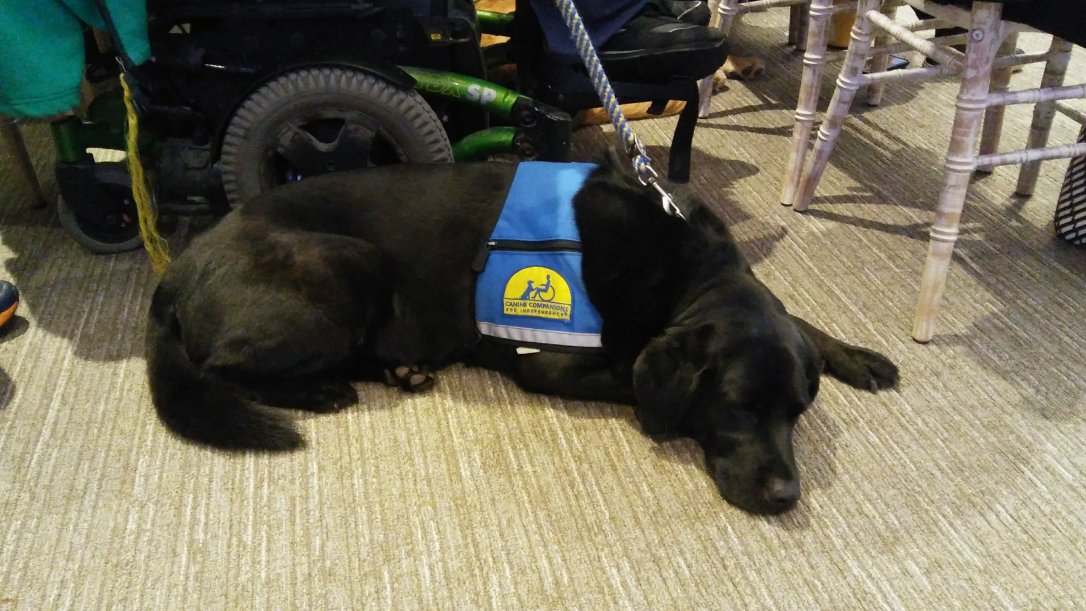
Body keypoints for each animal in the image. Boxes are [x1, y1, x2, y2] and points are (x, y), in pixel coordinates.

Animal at [146, 153, 898, 514]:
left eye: (799, 414)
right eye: (738, 409)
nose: (787, 497)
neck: (683, 268)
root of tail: (177, 268)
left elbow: (796, 316)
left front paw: (856, 354)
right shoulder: (548, 362)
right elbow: (637, 375)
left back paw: (398, 370)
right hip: (345, 263)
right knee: (220, 367)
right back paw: (322, 390)